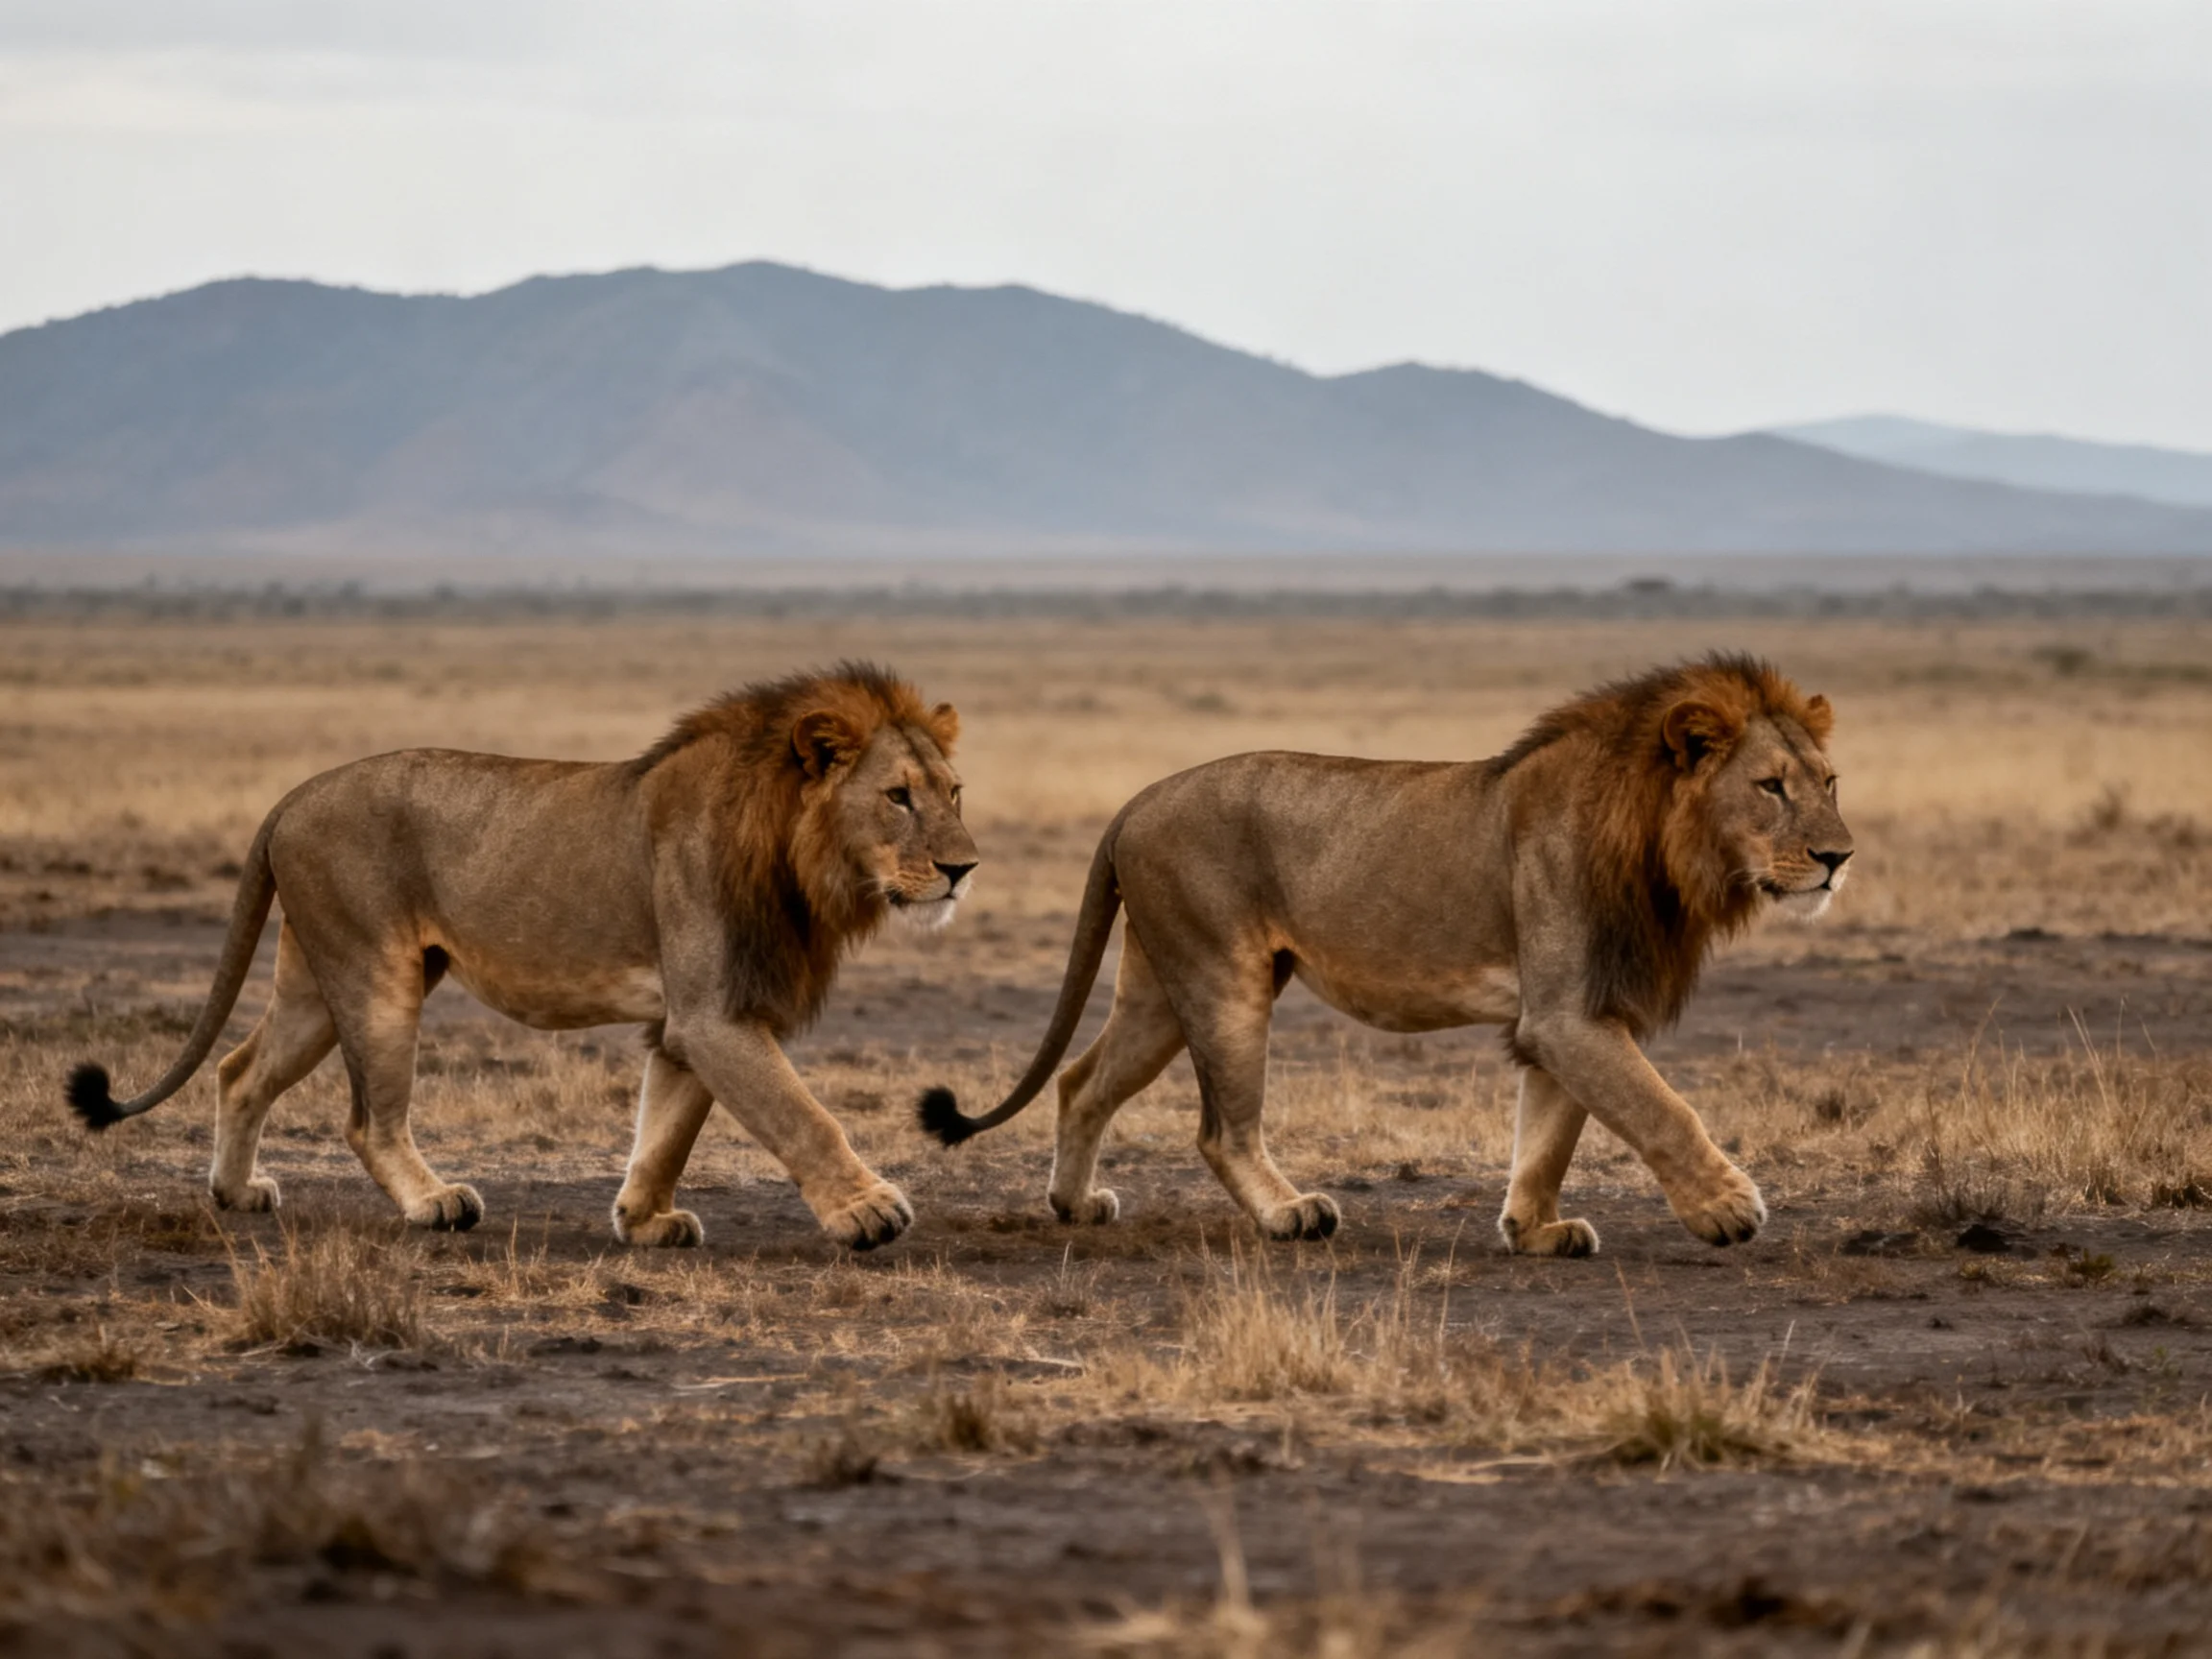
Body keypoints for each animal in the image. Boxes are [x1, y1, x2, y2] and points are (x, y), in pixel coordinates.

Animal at [67, 662, 975, 1252]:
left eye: (954, 791)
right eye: (897, 797)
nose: (964, 867)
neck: (799, 857)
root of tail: (294, 795)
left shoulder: (691, 1023)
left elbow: (668, 1128)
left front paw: (644, 1220)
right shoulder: (716, 1015)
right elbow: (802, 1115)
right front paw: (867, 1210)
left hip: (314, 981)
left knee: (240, 1069)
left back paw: (234, 1193)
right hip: (374, 975)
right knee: (368, 1119)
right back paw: (434, 1202)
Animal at [920, 653, 1850, 1255]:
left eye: (1830, 782)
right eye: (1771, 786)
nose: (1840, 856)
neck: (1665, 849)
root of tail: (1134, 801)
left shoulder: (1571, 1013)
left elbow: (1552, 1131)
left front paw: (1534, 1229)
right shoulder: (1567, 1017)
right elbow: (1660, 1108)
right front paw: (1727, 1207)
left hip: (1159, 986)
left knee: (1082, 1082)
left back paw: (1075, 1205)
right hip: (1223, 978)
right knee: (1221, 1130)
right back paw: (1289, 1215)